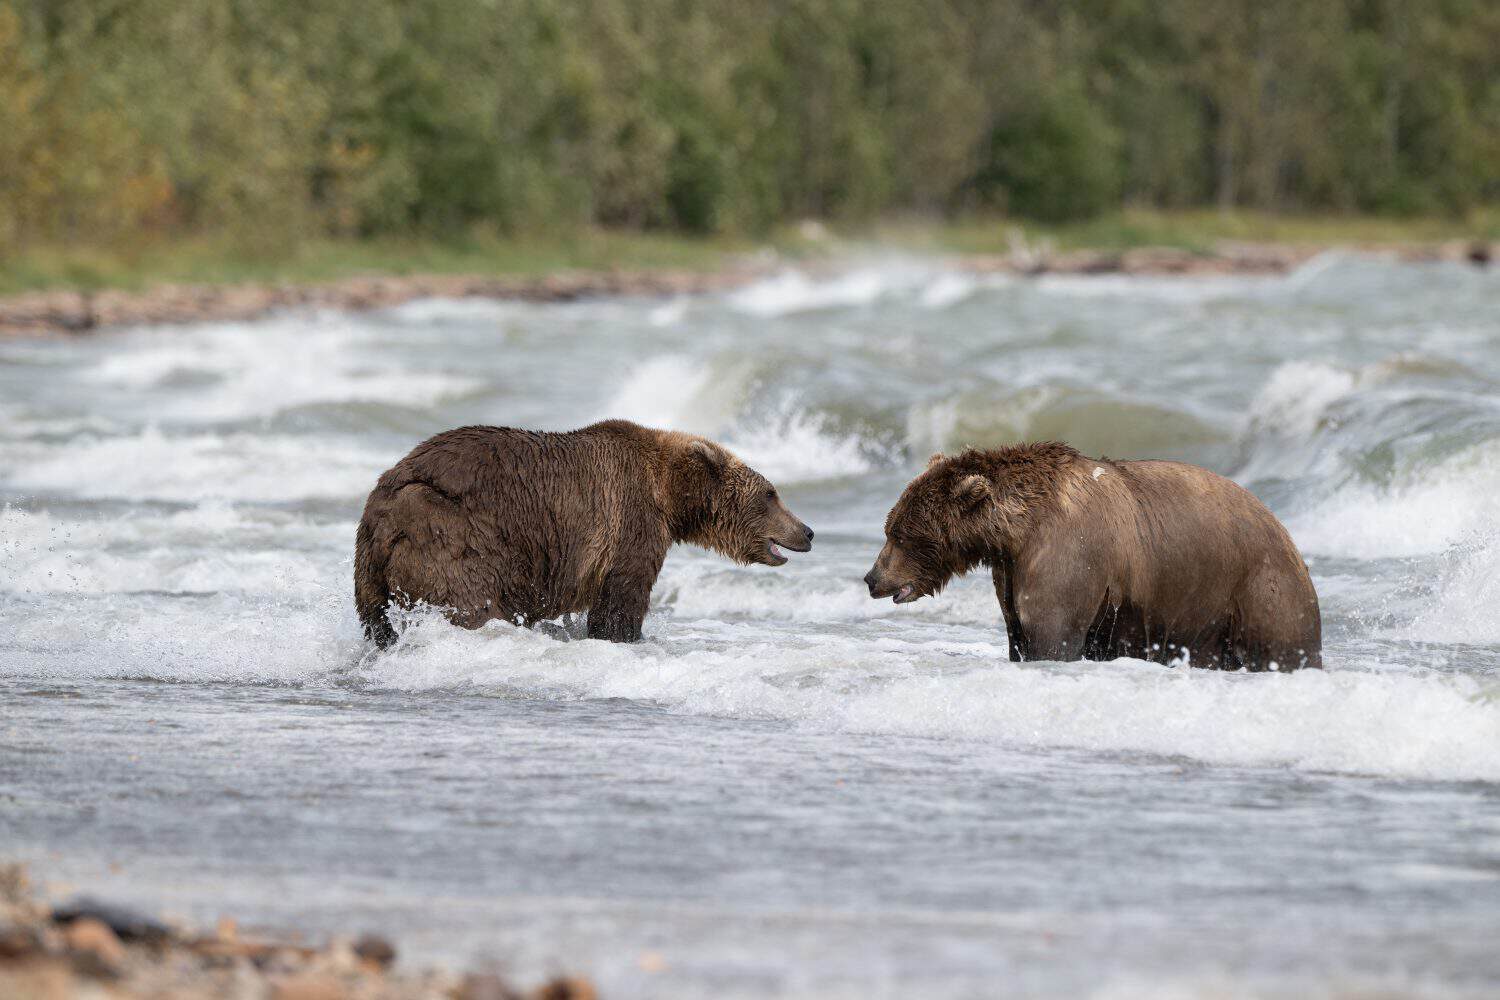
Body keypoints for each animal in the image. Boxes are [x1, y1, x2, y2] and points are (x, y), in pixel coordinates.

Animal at [355, 419, 814, 647]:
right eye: (771, 494)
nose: (807, 531)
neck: (669, 495)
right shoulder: (630, 521)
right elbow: (622, 598)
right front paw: (626, 637)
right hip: (454, 532)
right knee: (471, 603)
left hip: (369, 568)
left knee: (377, 623)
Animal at [863, 443, 1321, 671]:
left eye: (899, 533)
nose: (872, 578)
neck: (1015, 533)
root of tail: (1286, 533)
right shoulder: (1009, 572)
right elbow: (1018, 633)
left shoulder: (1066, 558)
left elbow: (1051, 635)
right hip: (1206, 612)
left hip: (1256, 587)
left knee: (1283, 644)